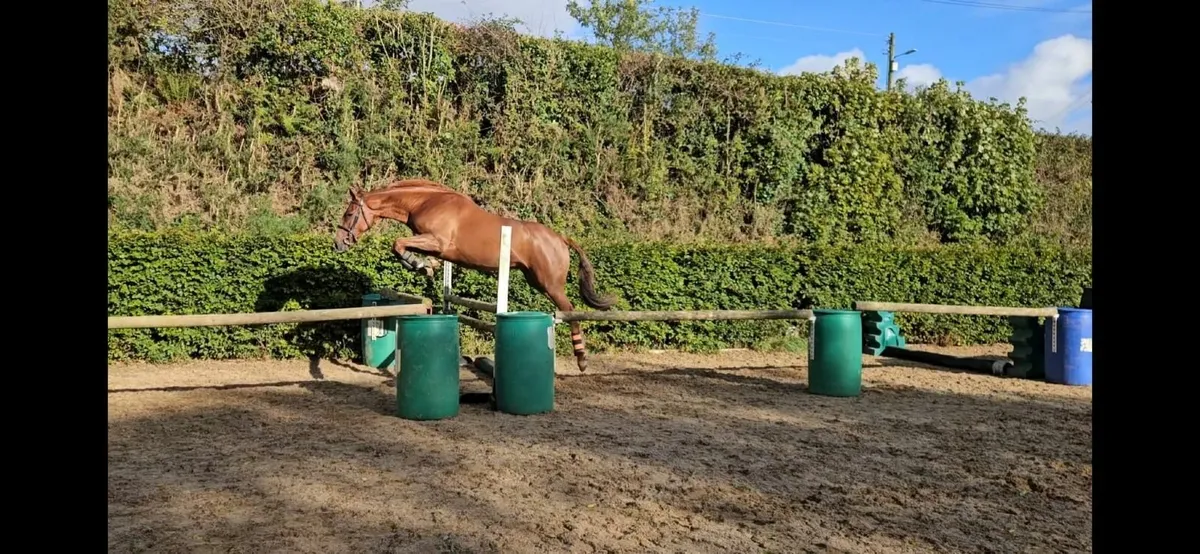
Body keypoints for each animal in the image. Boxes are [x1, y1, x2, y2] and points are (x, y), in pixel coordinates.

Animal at [333, 179, 619, 372]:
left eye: (349, 213)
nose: (338, 244)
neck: (424, 201)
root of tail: (560, 237)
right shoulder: (431, 244)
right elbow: (405, 247)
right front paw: (426, 266)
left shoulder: (436, 240)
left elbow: (398, 243)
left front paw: (418, 265)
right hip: (535, 280)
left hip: (550, 284)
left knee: (569, 310)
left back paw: (582, 358)